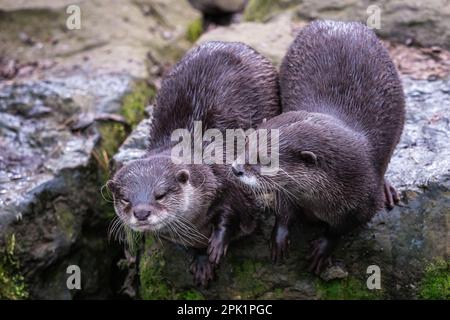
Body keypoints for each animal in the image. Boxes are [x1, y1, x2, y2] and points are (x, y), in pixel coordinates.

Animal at [107, 41, 280, 286]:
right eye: (125, 199)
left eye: (160, 195)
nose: (141, 213)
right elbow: (190, 245)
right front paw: (200, 262)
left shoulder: (229, 180)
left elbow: (233, 213)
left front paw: (217, 244)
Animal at [234, 21, 406, 274]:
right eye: (246, 143)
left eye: (266, 159)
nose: (235, 169)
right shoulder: (288, 191)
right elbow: (283, 209)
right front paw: (280, 236)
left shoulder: (365, 203)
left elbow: (341, 229)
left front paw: (324, 247)